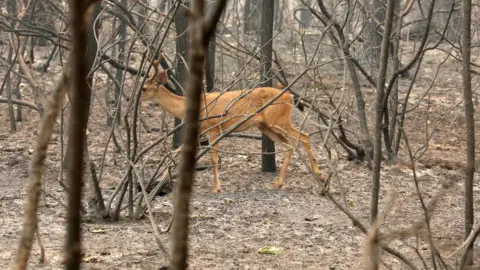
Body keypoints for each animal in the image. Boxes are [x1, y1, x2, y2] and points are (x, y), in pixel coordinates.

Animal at [141, 56, 324, 193]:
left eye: (144, 88)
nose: (136, 95)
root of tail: (289, 97)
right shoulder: (200, 130)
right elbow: (180, 153)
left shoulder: (214, 127)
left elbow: (213, 158)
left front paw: (216, 187)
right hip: (265, 126)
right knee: (288, 145)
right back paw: (278, 183)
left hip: (279, 120)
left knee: (304, 136)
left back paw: (319, 174)